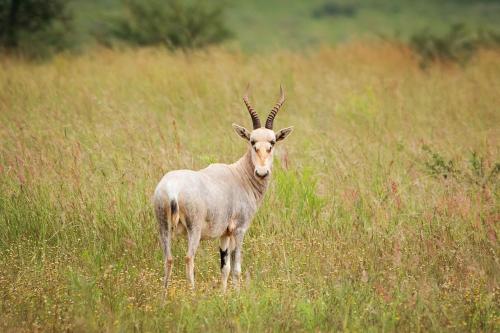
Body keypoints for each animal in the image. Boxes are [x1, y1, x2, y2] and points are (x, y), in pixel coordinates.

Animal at [153, 85, 292, 290]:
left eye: (272, 142)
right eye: (252, 141)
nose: (261, 172)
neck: (238, 175)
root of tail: (171, 190)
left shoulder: (224, 234)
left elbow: (224, 267)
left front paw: (224, 294)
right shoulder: (239, 230)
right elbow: (236, 268)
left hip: (163, 227)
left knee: (168, 259)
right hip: (193, 230)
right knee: (188, 258)